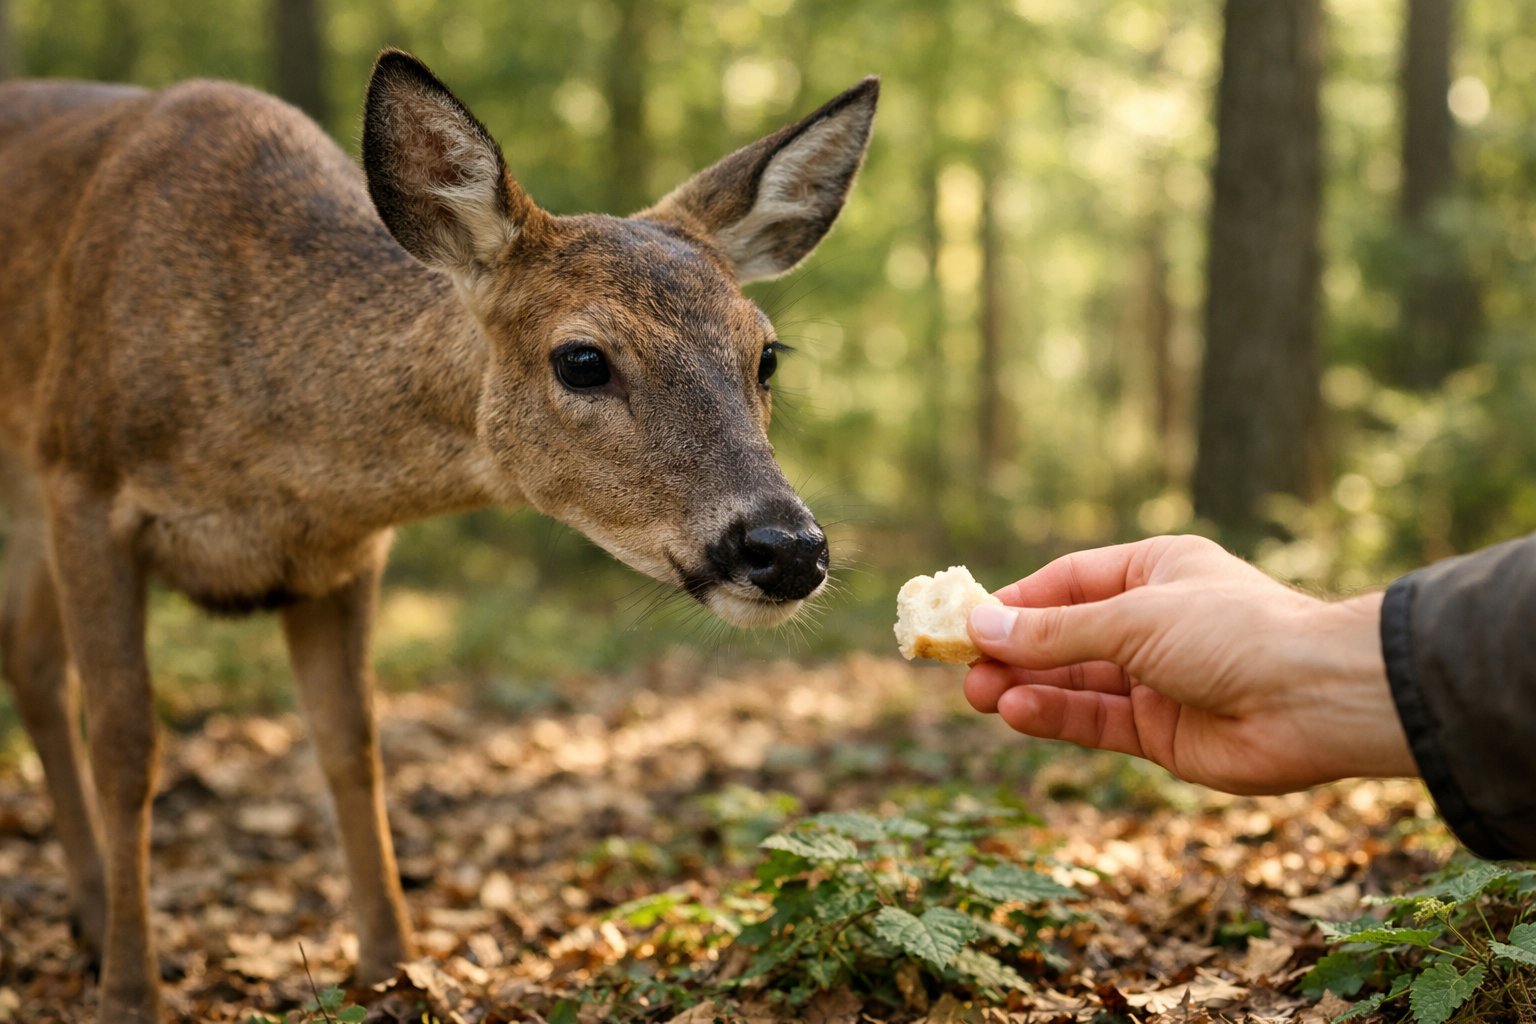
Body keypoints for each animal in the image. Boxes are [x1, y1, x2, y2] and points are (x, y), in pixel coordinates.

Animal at [0, 49, 877, 1021]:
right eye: (582, 359)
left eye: (766, 354)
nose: (787, 548)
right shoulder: (81, 483)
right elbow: (126, 750)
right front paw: (131, 991)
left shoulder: (341, 553)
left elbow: (352, 746)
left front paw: (393, 964)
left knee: (29, 662)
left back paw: (85, 918)